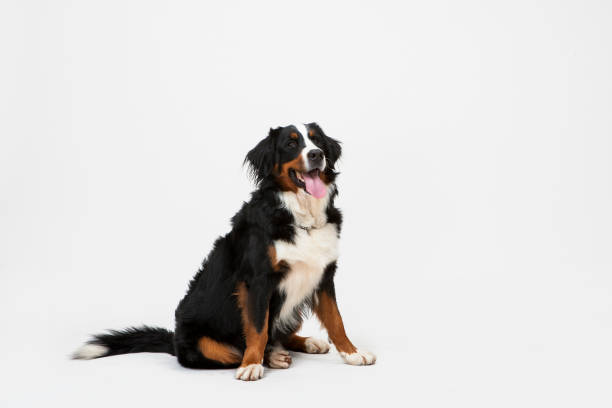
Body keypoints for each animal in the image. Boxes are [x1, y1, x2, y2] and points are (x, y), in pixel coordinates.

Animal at [73, 122, 376, 380]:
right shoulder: (257, 280)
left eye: (317, 140)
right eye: (291, 144)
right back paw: (271, 357)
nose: (316, 154)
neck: (299, 216)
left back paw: (306, 343)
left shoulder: (324, 274)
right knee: (238, 350)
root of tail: (174, 341)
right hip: (201, 343)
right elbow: (257, 328)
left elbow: (336, 320)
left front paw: (353, 353)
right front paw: (252, 364)